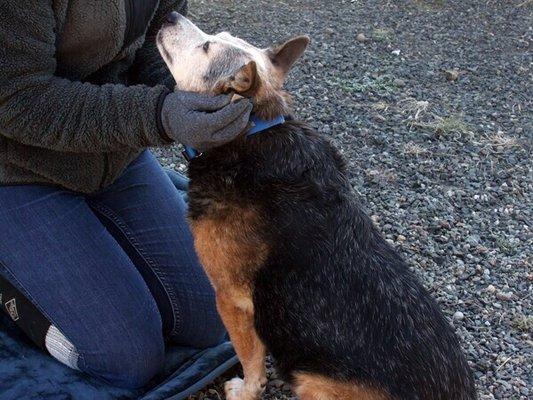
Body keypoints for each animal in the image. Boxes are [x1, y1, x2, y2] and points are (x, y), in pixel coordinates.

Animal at [156, 10, 476, 398]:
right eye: (214, 36)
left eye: (205, 47)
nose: (170, 14)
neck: (252, 129)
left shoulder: (231, 299)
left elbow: (251, 361)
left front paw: (245, 390)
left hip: (313, 379)